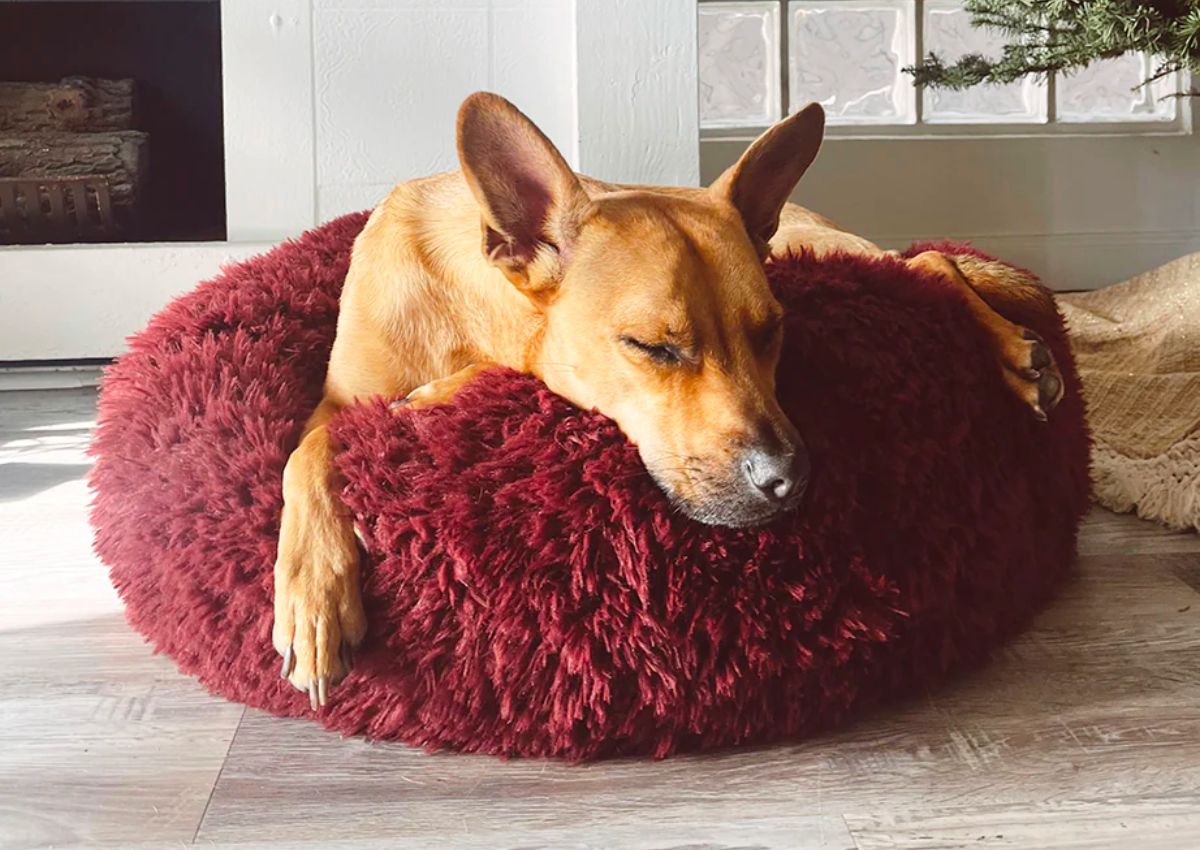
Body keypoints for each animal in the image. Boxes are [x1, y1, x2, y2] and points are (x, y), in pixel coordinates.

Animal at [274, 91, 1060, 705]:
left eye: (771, 332)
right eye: (652, 347)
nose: (787, 479)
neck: (472, 305)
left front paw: (434, 395)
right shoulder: (336, 398)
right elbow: (307, 449)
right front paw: (312, 590)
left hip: (823, 251)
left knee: (930, 262)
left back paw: (1015, 350)